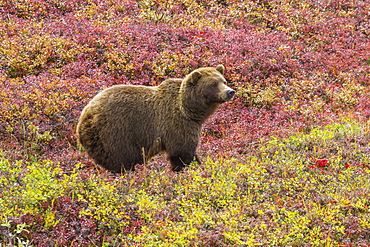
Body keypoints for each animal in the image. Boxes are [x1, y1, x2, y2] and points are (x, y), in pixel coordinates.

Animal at [76, 64, 236, 173]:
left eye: (224, 81)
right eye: (213, 84)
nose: (230, 92)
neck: (190, 110)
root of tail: (84, 116)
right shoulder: (176, 124)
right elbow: (182, 152)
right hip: (114, 133)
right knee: (123, 160)